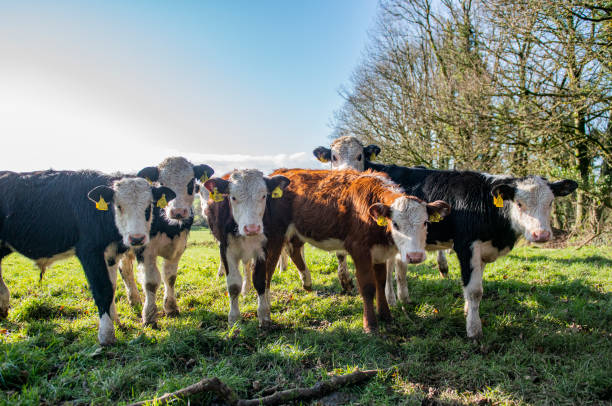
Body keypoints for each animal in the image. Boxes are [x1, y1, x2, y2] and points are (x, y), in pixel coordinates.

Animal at [0, 170, 175, 344]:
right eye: (118, 206)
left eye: (148, 206)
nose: (137, 239)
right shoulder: (89, 252)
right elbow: (102, 289)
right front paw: (107, 334)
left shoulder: (111, 254)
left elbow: (112, 287)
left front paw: (115, 321)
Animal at [117, 157, 215, 326]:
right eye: (161, 184)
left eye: (190, 183)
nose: (178, 212)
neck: (169, 229)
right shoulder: (145, 251)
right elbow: (150, 282)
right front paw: (149, 316)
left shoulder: (178, 248)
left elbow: (170, 277)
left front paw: (171, 308)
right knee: (125, 270)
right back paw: (134, 299)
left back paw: (135, 299)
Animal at [202, 170, 292, 326]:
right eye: (233, 197)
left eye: (264, 196)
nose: (252, 228)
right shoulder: (226, 249)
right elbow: (233, 285)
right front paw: (234, 318)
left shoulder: (264, 249)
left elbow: (260, 280)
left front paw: (264, 315)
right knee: (246, 266)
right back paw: (245, 289)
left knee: (267, 276)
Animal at [251, 170, 448, 332]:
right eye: (395, 224)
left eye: (425, 222)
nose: (415, 256)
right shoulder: (359, 249)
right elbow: (368, 287)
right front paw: (370, 325)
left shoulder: (379, 252)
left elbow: (380, 282)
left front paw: (386, 316)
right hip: (274, 236)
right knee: (267, 272)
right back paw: (265, 313)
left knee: (294, 250)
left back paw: (306, 282)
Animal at [318, 143, 580, 336]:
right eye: (519, 203)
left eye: (551, 202)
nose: (541, 234)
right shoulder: (466, 245)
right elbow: (474, 290)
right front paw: (474, 330)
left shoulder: (482, 250)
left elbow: (473, 286)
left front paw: (467, 311)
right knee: (390, 266)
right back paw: (391, 298)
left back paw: (402, 298)